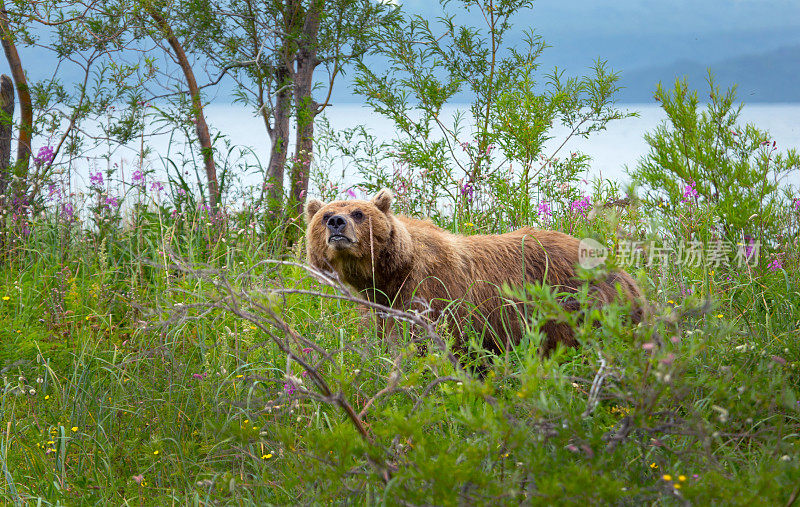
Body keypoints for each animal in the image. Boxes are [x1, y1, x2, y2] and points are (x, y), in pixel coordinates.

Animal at [304, 189, 644, 356]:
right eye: (324, 215)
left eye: (358, 212)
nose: (336, 223)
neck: (392, 272)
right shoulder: (381, 303)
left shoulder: (429, 291)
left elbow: (426, 344)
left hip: (579, 305)